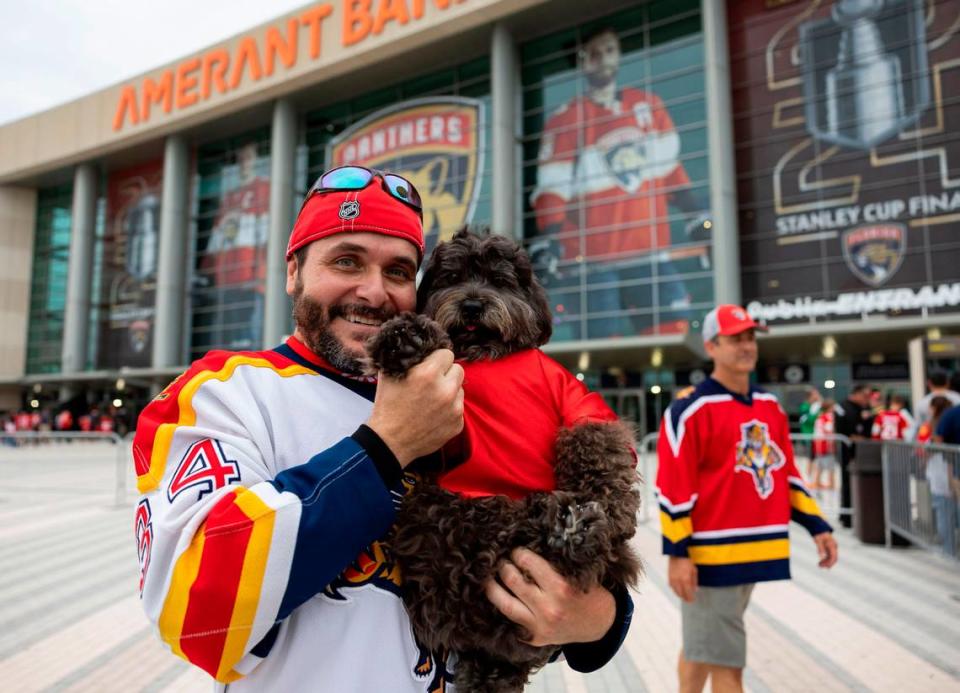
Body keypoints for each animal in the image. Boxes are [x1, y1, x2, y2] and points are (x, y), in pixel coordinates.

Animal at [364, 230, 640, 688]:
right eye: (453, 277)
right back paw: (561, 528)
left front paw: (616, 512)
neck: (488, 355)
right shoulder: (443, 432)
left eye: (498, 279)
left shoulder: (577, 402)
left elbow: (598, 446)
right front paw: (407, 338)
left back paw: (574, 527)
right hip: (433, 511)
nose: (473, 305)